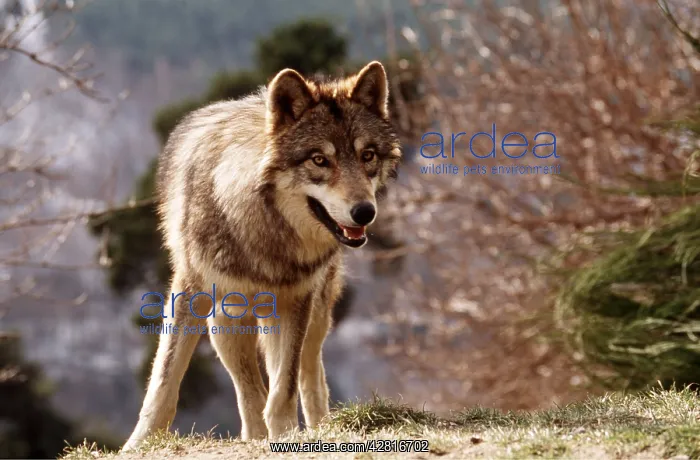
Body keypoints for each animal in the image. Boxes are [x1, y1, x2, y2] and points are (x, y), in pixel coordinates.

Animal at [122, 61, 402, 451]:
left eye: (368, 156)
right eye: (319, 160)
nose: (364, 212)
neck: (266, 232)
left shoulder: (297, 300)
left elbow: (284, 385)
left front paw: (285, 434)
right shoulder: (190, 291)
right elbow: (165, 380)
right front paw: (139, 442)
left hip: (313, 313)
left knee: (309, 372)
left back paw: (319, 427)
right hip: (226, 321)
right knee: (248, 388)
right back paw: (254, 435)